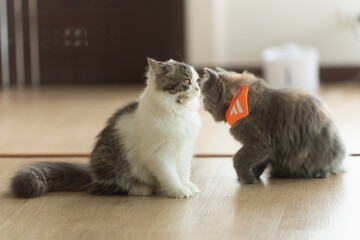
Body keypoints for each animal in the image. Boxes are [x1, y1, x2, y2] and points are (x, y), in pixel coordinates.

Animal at [10, 58, 202, 199]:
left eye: (196, 80)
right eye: (187, 81)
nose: (198, 88)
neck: (179, 113)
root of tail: (92, 173)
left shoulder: (185, 150)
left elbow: (183, 173)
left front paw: (187, 186)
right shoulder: (159, 156)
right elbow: (170, 176)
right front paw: (179, 191)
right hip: (115, 168)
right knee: (111, 187)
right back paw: (141, 189)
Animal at [201, 67, 344, 184]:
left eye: (203, 88)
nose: (199, 94)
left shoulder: (260, 143)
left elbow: (238, 158)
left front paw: (247, 179)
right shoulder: (266, 151)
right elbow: (258, 163)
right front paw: (253, 176)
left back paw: (319, 173)